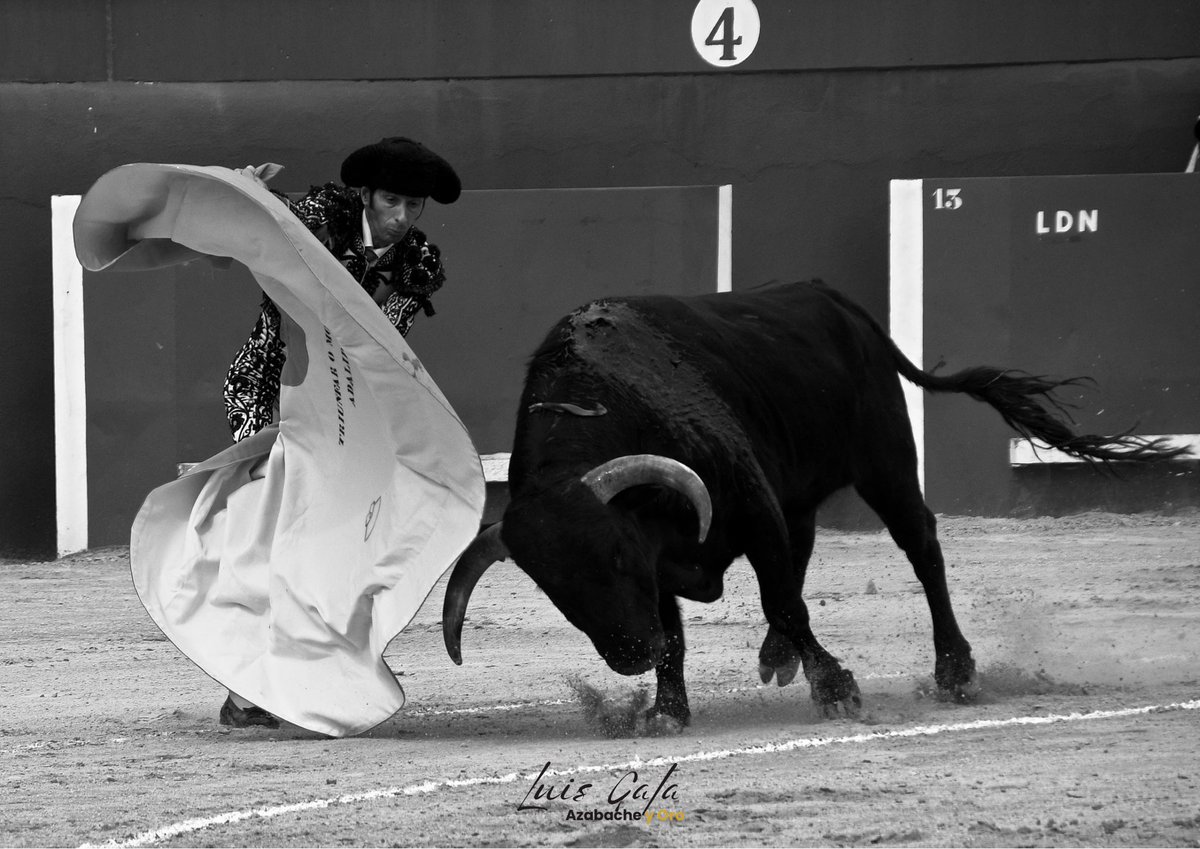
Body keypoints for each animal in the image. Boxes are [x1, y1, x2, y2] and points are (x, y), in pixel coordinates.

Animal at [441, 278, 1180, 724]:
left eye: (616, 556)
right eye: (555, 591)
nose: (630, 654)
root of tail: (838, 303)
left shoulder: (743, 507)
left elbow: (784, 602)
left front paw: (837, 688)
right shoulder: (680, 553)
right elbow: (685, 627)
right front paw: (668, 708)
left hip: (887, 462)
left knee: (921, 548)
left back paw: (954, 670)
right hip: (804, 486)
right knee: (806, 547)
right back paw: (777, 657)